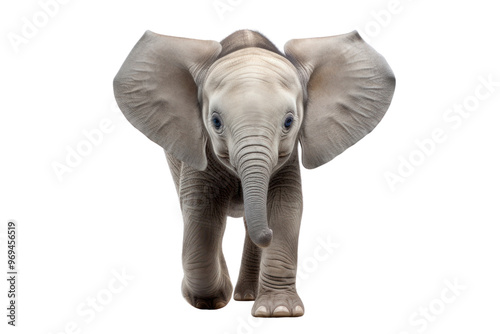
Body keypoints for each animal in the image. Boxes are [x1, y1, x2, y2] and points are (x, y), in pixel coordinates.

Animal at [113, 29, 394, 318]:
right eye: (215, 122)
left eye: (289, 122)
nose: (266, 235)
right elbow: (201, 211)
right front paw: (209, 299)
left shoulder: (286, 159)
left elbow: (285, 206)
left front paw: (279, 311)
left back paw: (246, 296)